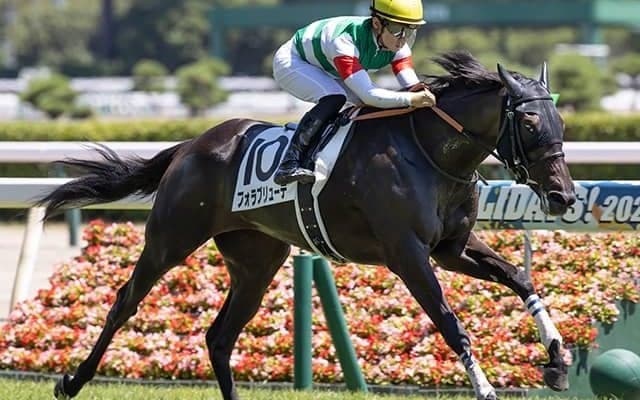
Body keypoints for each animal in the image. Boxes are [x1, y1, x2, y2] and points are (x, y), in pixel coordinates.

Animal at [41, 51, 575, 400]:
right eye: (530, 124)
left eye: (561, 123)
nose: (563, 196)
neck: (428, 151)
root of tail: (191, 145)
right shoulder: (407, 255)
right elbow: (450, 322)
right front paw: (485, 388)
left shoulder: (451, 248)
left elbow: (520, 278)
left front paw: (556, 358)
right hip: (171, 239)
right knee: (125, 303)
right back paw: (71, 381)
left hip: (256, 261)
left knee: (219, 336)